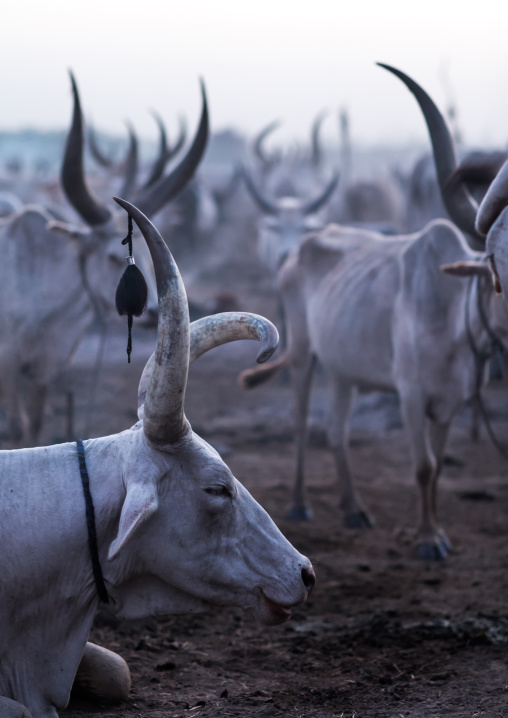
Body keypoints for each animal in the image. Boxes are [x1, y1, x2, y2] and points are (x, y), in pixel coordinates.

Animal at [0, 73, 207, 446]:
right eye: (114, 258)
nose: (150, 312)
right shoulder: (7, 363)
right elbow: (16, 427)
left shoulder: (45, 368)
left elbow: (34, 427)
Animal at [239, 66, 508, 560]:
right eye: (498, 261)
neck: (453, 319)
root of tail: (301, 247)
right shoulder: (410, 394)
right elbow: (422, 467)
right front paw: (427, 540)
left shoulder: (451, 402)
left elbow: (438, 468)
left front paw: (438, 532)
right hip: (302, 353)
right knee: (301, 422)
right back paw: (301, 503)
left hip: (344, 370)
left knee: (337, 430)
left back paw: (353, 508)